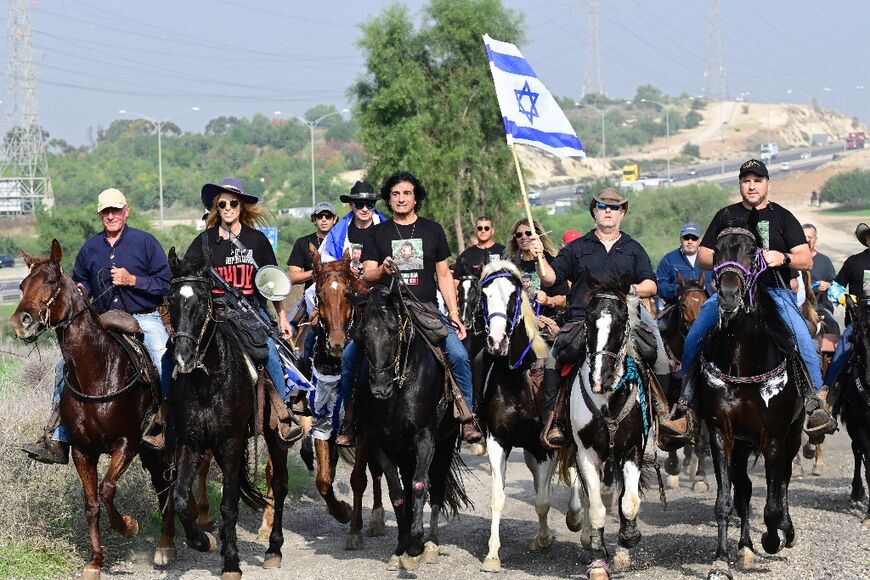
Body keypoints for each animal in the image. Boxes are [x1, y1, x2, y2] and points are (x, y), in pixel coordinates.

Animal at [10, 239, 176, 576]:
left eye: (51, 281)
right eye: (21, 285)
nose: (21, 322)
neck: (98, 372)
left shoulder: (127, 443)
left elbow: (107, 489)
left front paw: (127, 526)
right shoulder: (82, 451)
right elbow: (91, 503)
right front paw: (96, 561)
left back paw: (172, 544)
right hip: (153, 452)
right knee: (163, 484)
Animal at [164, 249, 286, 580]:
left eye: (202, 300)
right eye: (171, 300)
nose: (183, 356)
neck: (208, 382)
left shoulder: (231, 443)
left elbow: (230, 506)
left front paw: (231, 561)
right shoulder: (191, 442)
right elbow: (180, 499)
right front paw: (202, 541)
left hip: (275, 435)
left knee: (279, 485)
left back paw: (274, 548)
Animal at [358, 282, 474, 572]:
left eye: (392, 330)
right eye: (363, 332)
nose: (379, 388)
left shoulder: (425, 437)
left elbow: (421, 484)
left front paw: (417, 542)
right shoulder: (380, 443)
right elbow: (398, 492)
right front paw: (402, 546)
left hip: (444, 444)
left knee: (438, 486)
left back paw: (430, 544)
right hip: (404, 450)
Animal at [568, 274, 652, 580]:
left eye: (621, 320)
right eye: (588, 320)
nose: (599, 379)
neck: (607, 401)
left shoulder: (633, 449)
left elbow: (628, 502)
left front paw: (628, 541)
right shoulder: (585, 453)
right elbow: (595, 506)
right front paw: (596, 553)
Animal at [700, 220, 808, 576]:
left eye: (752, 251)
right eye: (717, 251)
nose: (729, 295)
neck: (743, 359)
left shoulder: (772, 436)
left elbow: (773, 501)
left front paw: (774, 539)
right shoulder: (721, 433)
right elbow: (726, 500)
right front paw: (720, 561)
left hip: (791, 434)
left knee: (783, 479)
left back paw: (784, 532)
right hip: (742, 444)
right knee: (745, 489)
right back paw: (744, 547)